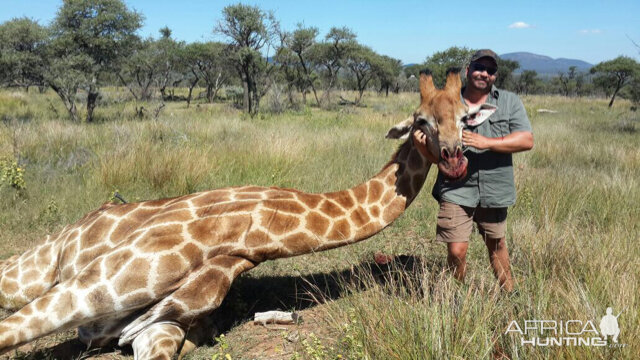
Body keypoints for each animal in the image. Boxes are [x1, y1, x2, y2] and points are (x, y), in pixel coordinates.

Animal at [0, 69, 480, 358]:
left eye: (466, 118)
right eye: (421, 121)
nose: (455, 158)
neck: (258, 232)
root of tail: (82, 221)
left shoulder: (156, 328)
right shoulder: (96, 287)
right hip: (40, 269)